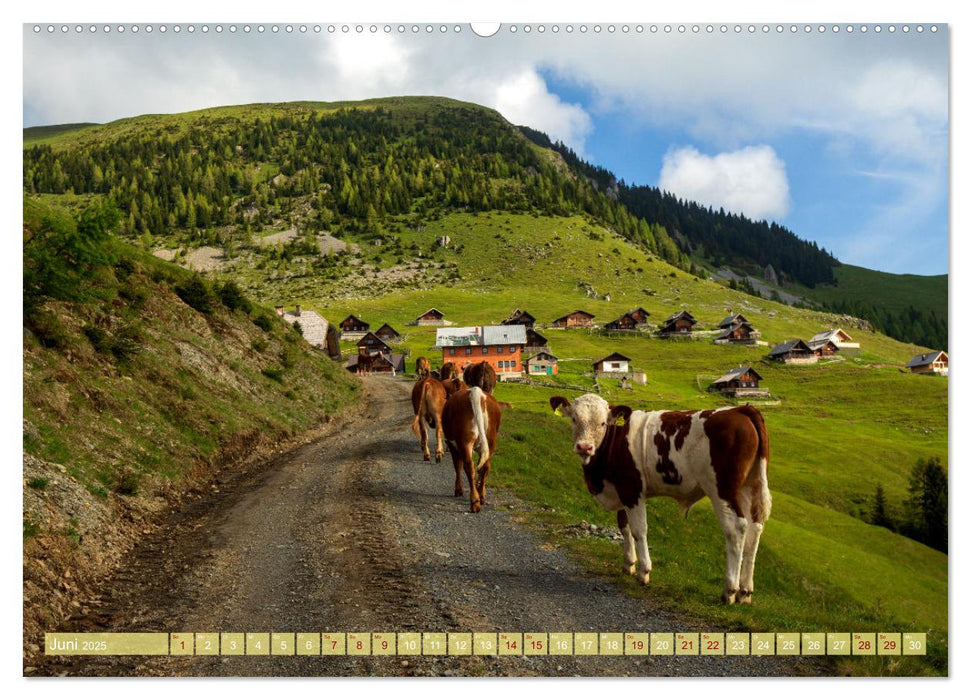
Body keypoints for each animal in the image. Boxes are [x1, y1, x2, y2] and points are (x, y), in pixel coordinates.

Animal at [552, 396, 772, 604]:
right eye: (574, 418)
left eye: (603, 423)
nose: (584, 447)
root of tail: (740, 409)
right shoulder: (622, 489)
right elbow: (624, 526)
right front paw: (628, 564)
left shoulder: (632, 489)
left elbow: (639, 530)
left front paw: (643, 571)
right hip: (748, 486)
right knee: (754, 530)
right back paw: (745, 591)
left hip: (722, 490)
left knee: (736, 529)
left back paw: (730, 591)